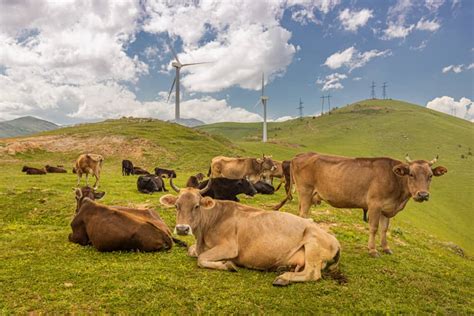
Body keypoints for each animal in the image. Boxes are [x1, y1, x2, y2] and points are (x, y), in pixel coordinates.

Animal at [161, 179, 342, 288]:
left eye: (197, 206)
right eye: (176, 206)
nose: (182, 228)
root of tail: (334, 239)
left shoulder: (230, 247)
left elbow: (201, 258)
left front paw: (228, 264)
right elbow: (192, 251)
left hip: (312, 243)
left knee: (312, 273)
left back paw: (283, 278)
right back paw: (284, 268)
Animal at [276, 152, 446, 258]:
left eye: (430, 176)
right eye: (411, 174)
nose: (423, 195)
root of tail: (301, 155)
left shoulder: (386, 209)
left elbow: (384, 229)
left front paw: (386, 248)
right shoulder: (375, 205)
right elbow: (374, 228)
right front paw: (372, 250)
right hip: (305, 191)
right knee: (303, 215)